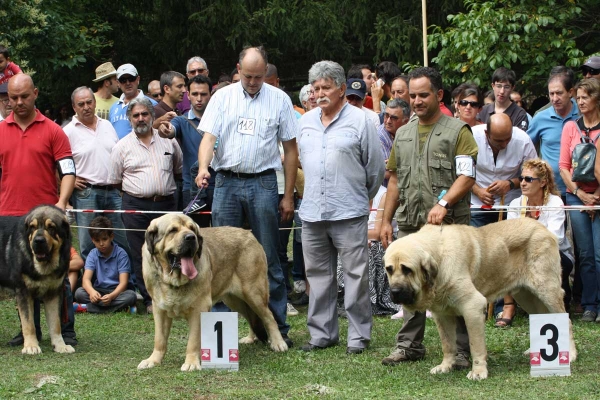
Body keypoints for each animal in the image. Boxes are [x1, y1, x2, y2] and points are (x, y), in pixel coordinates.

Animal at [137, 212, 288, 372]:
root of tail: (249, 234)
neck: (173, 280)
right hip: (234, 300)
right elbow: (159, 339)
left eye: (192, 229)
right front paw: (153, 360)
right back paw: (251, 338)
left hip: (253, 292)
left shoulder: (199, 308)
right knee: (251, 316)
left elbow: (193, 340)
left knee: (268, 316)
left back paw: (278, 343)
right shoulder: (159, 309)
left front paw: (191, 362)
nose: (191, 237)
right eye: (173, 230)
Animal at [384, 217, 576, 380]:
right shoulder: (442, 314)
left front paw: (478, 372)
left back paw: (571, 354)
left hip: (547, 291)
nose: (395, 291)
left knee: (566, 321)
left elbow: (475, 345)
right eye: (389, 269)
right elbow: (448, 344)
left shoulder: (472, 307)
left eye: (407, 269)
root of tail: (543, 228)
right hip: (525, 296)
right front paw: (445, 366)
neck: (439, 258)